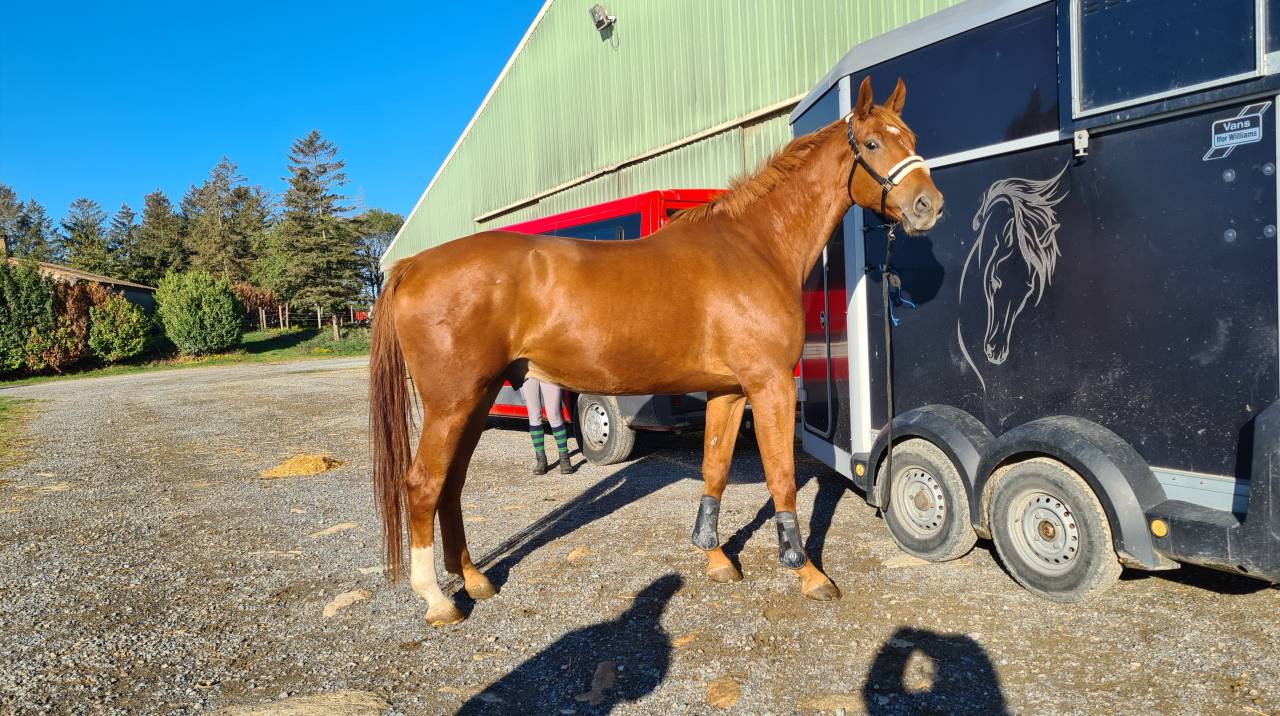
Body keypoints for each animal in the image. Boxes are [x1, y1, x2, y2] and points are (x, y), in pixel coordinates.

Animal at [369, 77, 943, 626]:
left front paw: (716, 559)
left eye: (912, 138)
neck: (755, 247)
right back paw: (437, 600)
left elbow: (715, 470)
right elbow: (782, 479)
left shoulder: (729, 392)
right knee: (423, 484)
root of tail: (413, 265)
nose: (929, 206)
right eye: (873, 143)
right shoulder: (769, 385)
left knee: (452, 484)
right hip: (453, 403)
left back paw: (474, 579)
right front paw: (808, 574)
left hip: (477, 397)